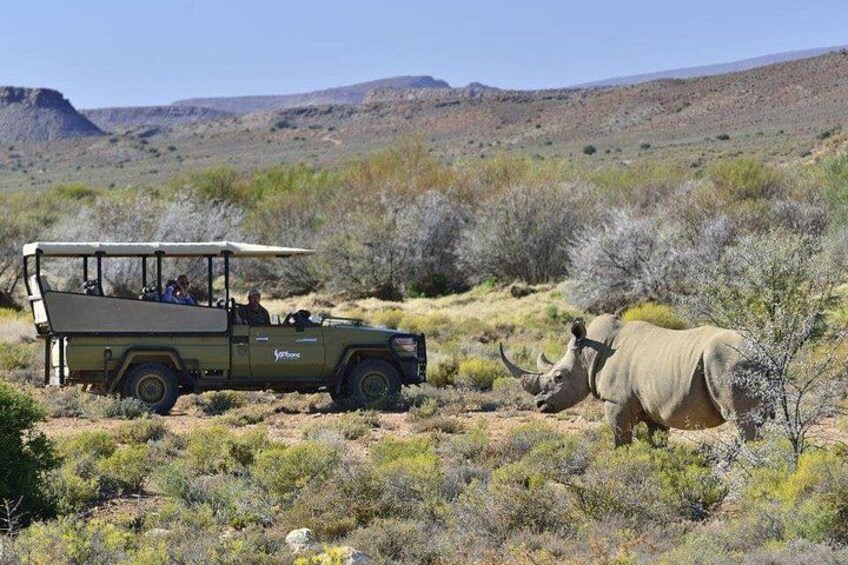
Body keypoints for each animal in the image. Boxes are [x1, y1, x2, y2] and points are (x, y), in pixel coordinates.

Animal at [500, 314, 764, 446]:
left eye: (558, 377)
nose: (539, 405)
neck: (590, 351)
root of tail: (760, 348)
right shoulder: (654, 408)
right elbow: (657, 442)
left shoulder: (617, 402)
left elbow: (621, 439)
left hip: (729, 361)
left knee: (742, 422)